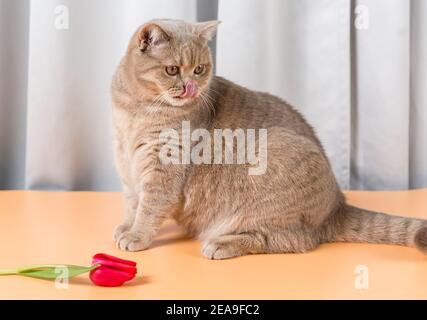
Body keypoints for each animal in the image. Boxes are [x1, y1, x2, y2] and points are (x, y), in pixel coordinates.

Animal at [111, 18, 427, 258]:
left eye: (199, 69)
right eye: (172, 70)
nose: (190, 87)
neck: (136, 110)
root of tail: (338, 205)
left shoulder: (163, 167)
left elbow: (150, 205)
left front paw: (137, 235)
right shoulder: (126, 161)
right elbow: (132, 201)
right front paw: (126, 226)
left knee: (289, 240)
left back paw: (221, 243)